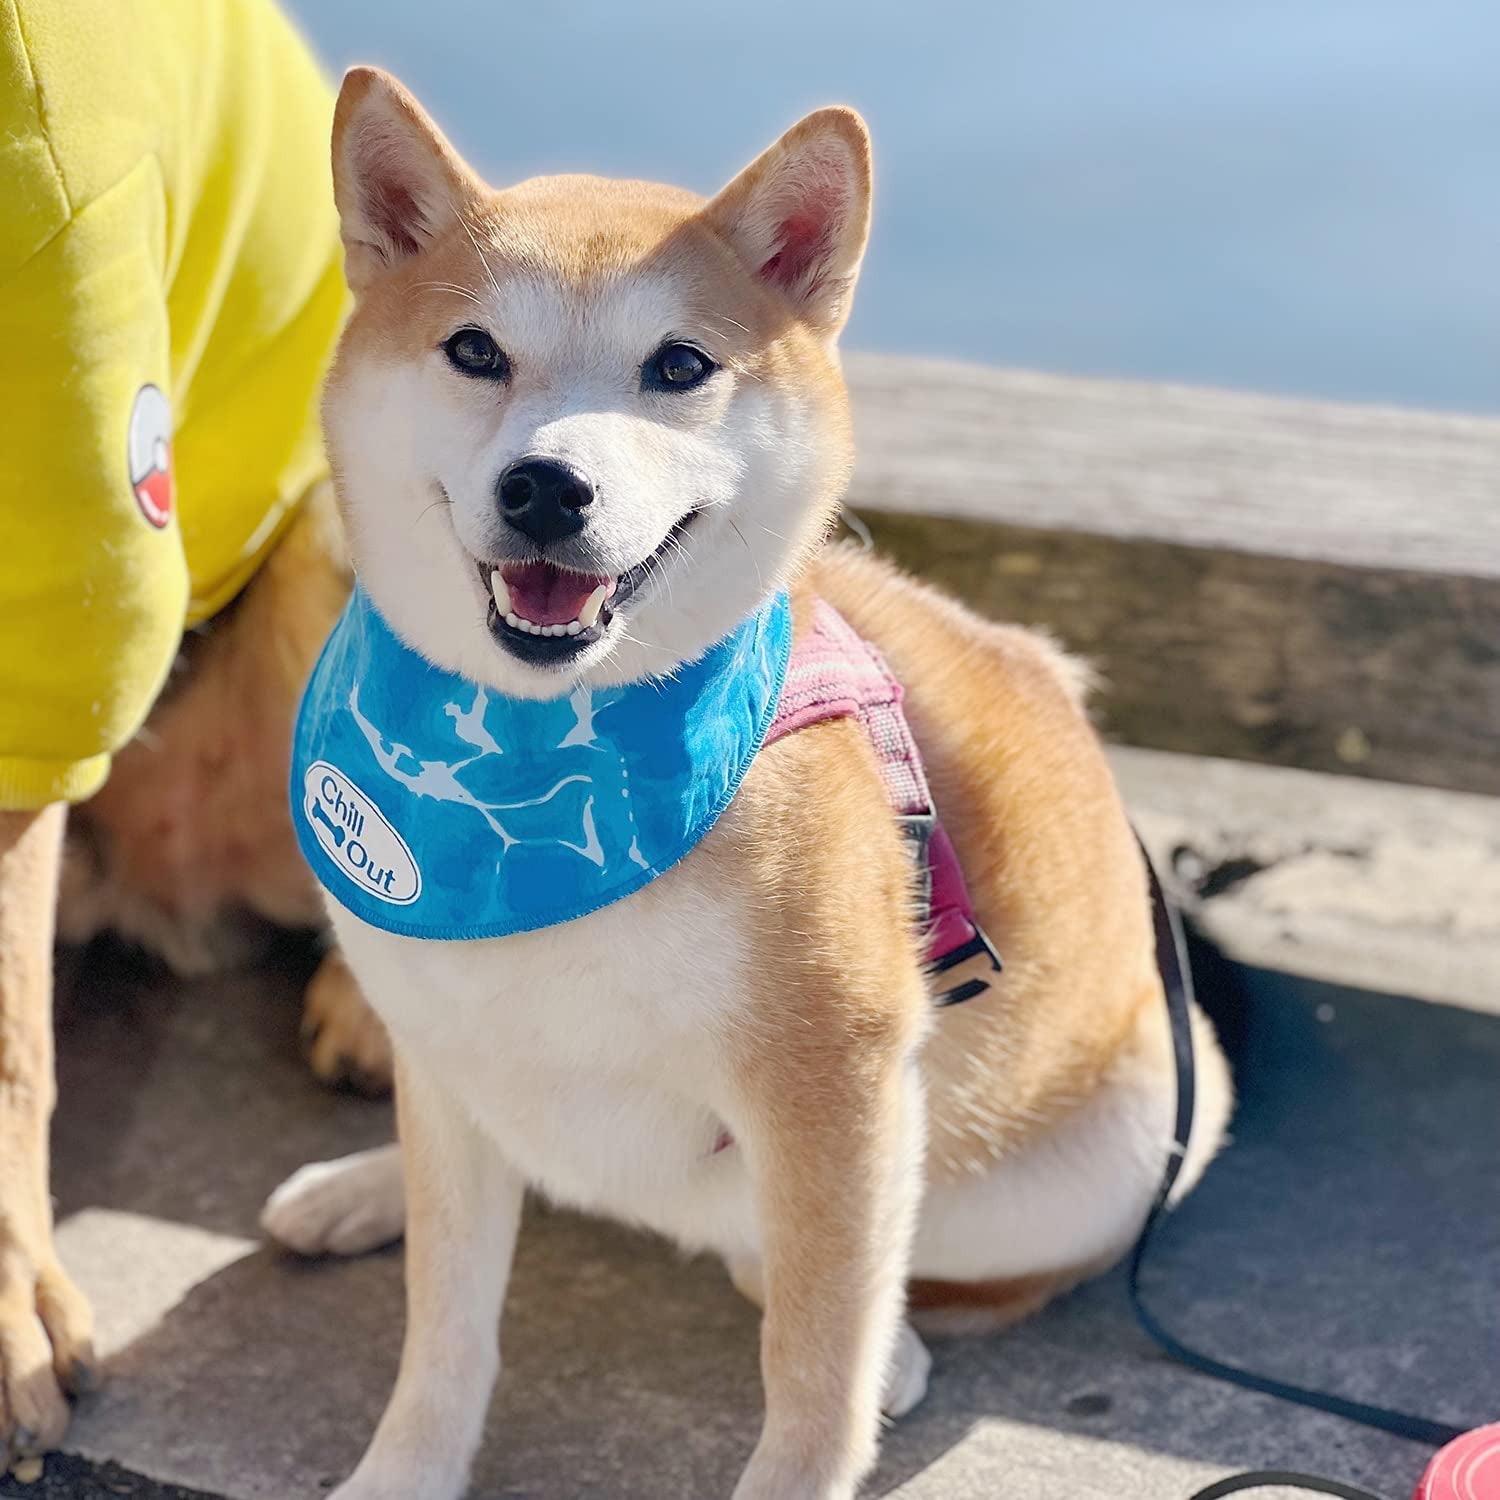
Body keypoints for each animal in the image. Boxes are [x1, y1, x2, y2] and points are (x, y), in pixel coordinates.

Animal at [267, 67, 1230, 1500]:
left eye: (679, 366)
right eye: (476, 352)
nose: (546, 486)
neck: (539, 777)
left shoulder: (832, 1089)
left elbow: (814, 1367)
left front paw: (841, 1390)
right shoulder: (445, 1037)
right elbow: (445, 1324)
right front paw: (405, 1468)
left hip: (1121, 1137)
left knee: (816, 1265)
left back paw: (879, 1336)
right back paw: (365, 1184)